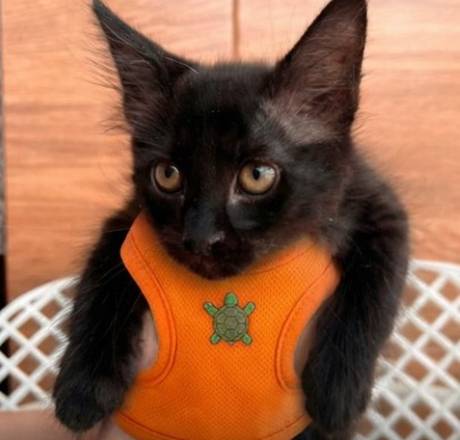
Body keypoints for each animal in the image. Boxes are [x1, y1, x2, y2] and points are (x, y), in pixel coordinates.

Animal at [53, 0, 409, 438]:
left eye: (257, 176)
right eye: (167, 175)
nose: (200, 238)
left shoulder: (376, 205)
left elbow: (374, 286)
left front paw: (336, 392)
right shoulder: (128, 220)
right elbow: (104, 269)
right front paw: (82, 388)